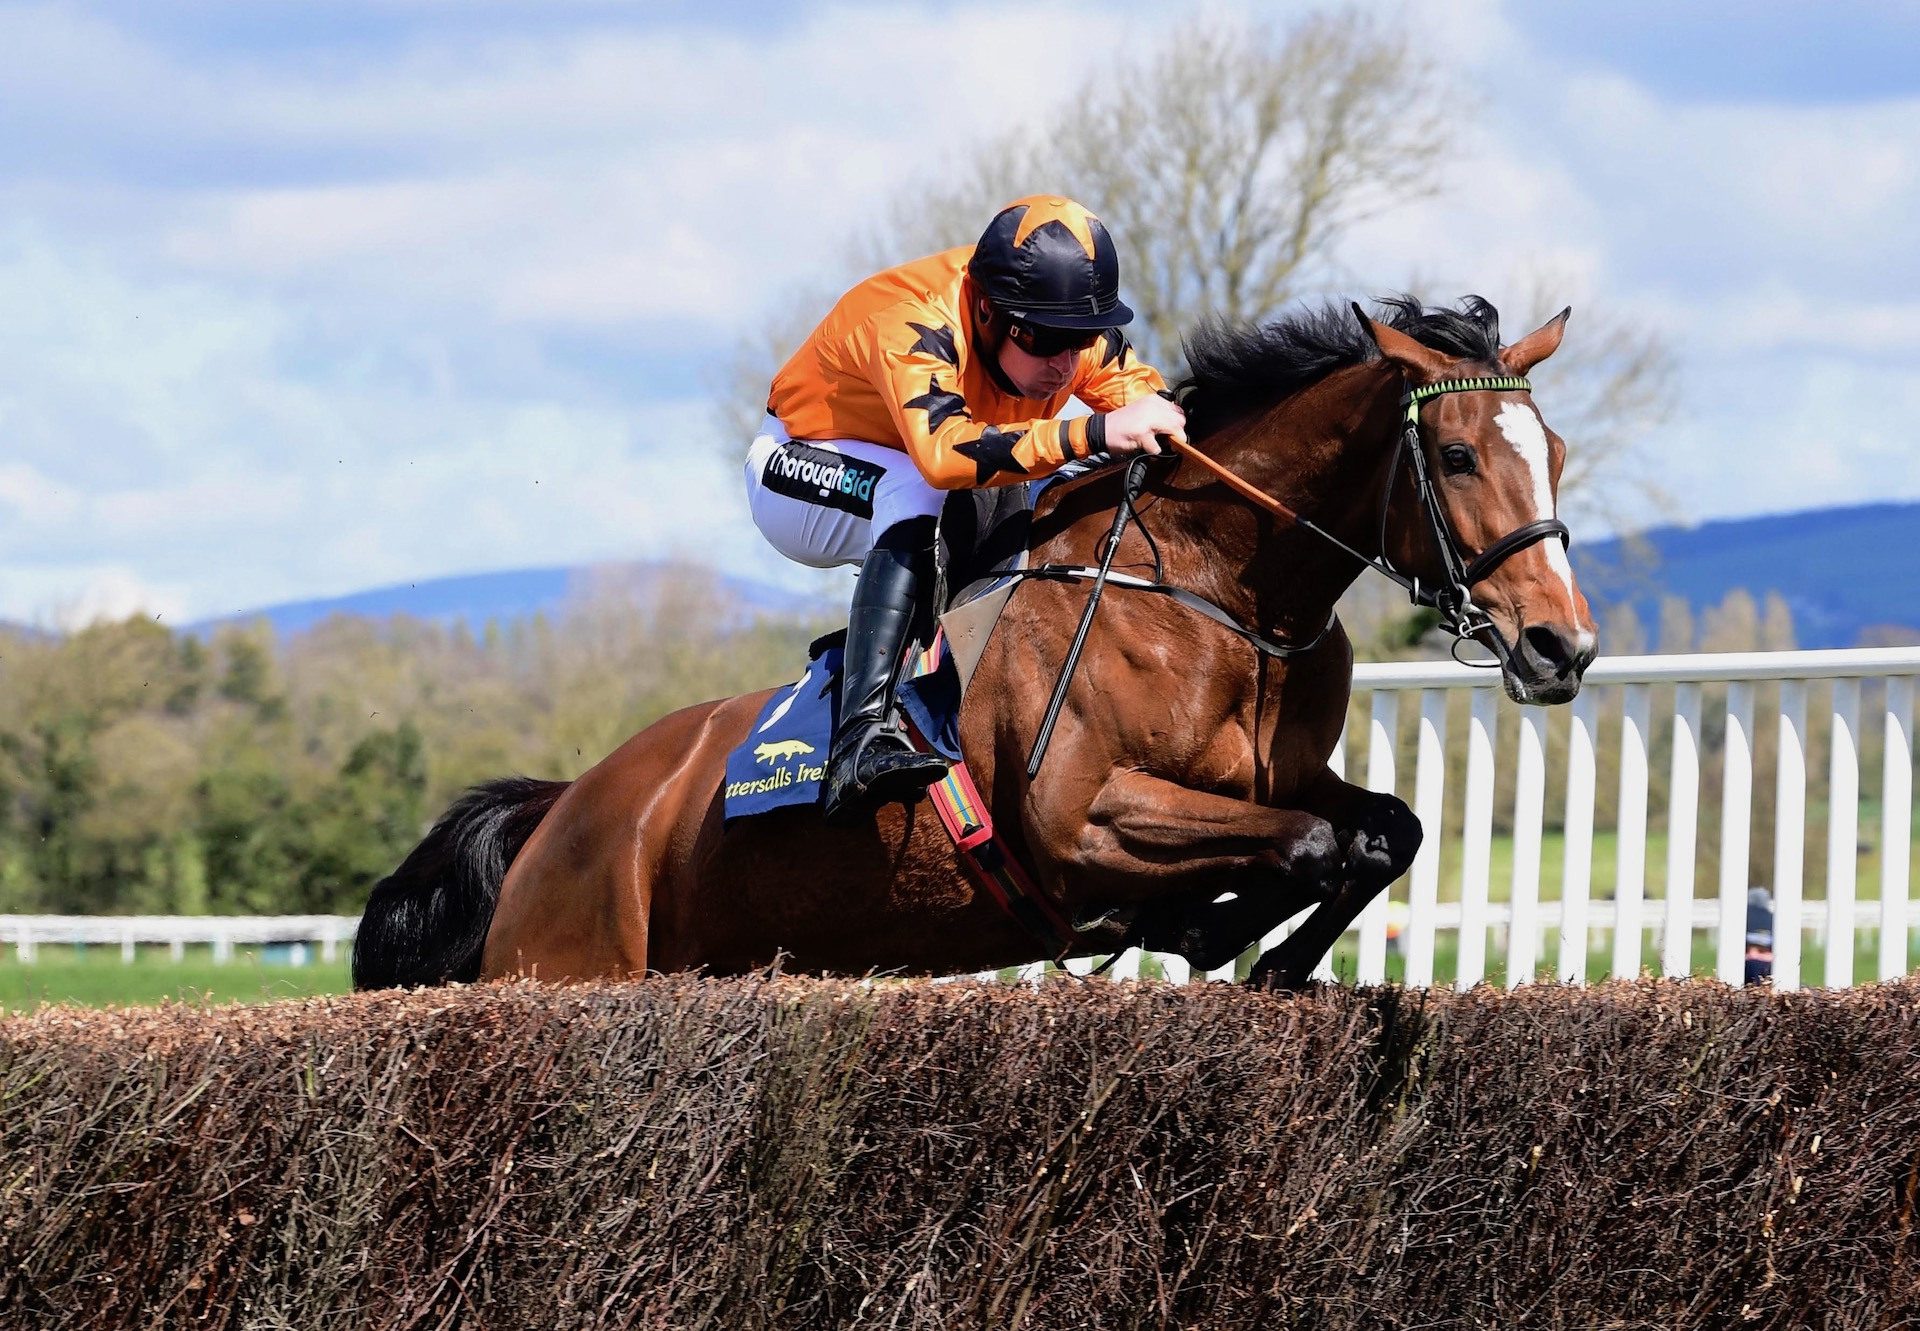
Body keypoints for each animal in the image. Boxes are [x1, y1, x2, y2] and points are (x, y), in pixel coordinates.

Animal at [353, 295, 1597, 991]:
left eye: (1555, 451)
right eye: (1456, 457)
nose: (1561, 645)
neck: (1209, 595)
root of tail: (562, 810)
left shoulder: (1281, 776)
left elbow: (1385, 829)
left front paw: (1267, 951)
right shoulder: (1084, 817)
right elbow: (1306, 843)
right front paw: (1210, 929)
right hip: (574, 960)